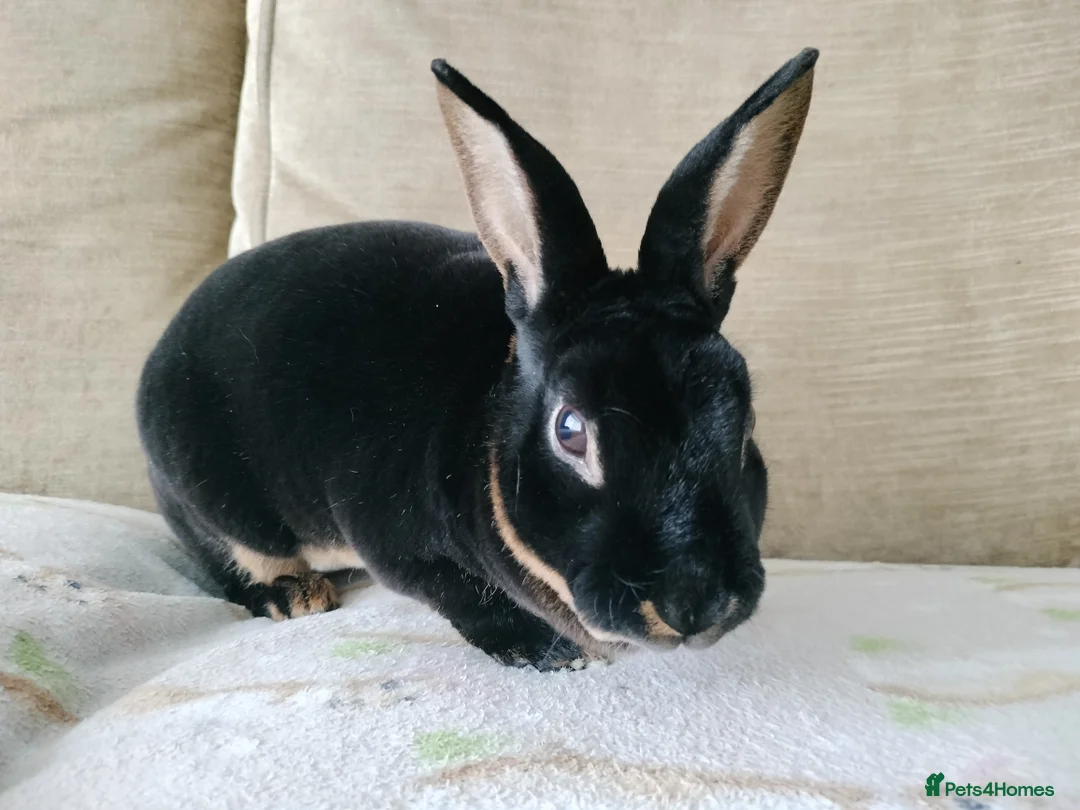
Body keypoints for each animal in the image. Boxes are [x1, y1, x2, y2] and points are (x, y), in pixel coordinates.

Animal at [136, 49, 818, 670]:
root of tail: (159, 355)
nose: (695, 606)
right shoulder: (400, 545)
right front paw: (550, 653)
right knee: (231, 562)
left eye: (746, 425)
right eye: (570, 431)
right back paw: (296, 596)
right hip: (210, 501)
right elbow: (464, 596)